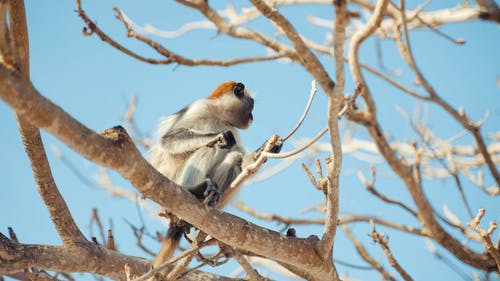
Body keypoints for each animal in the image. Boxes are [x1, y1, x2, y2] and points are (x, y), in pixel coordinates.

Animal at [148, 80, 282, 266]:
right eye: (252, 106)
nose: (252, 118)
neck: (219, 115)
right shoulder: (200, 106)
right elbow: (167, 139)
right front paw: (217, 136)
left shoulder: (233, 129)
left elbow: (243, 161)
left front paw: (266, 149)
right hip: (176, 180)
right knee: (209, 148)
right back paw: (194, 189)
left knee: (234, 159)